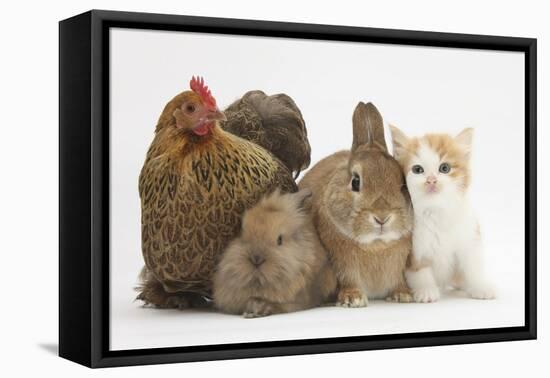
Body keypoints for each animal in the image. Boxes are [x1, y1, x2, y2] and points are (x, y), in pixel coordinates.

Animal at [302, 102, 414, 308]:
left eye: (403, 184)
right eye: (355, 181)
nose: (382, 217)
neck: (375, 245)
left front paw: (402, 295)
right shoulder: (342, 264)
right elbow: (349, 279)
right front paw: (352, 299)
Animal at [390, 125, 498, 302]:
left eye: (445, 168)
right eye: (417, 170)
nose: (431, 180)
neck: (436, 211)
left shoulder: (469, 236)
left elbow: (473, 265)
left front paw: (480, 287)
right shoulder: (413, 248)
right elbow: (420, 270)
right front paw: (426, 290)